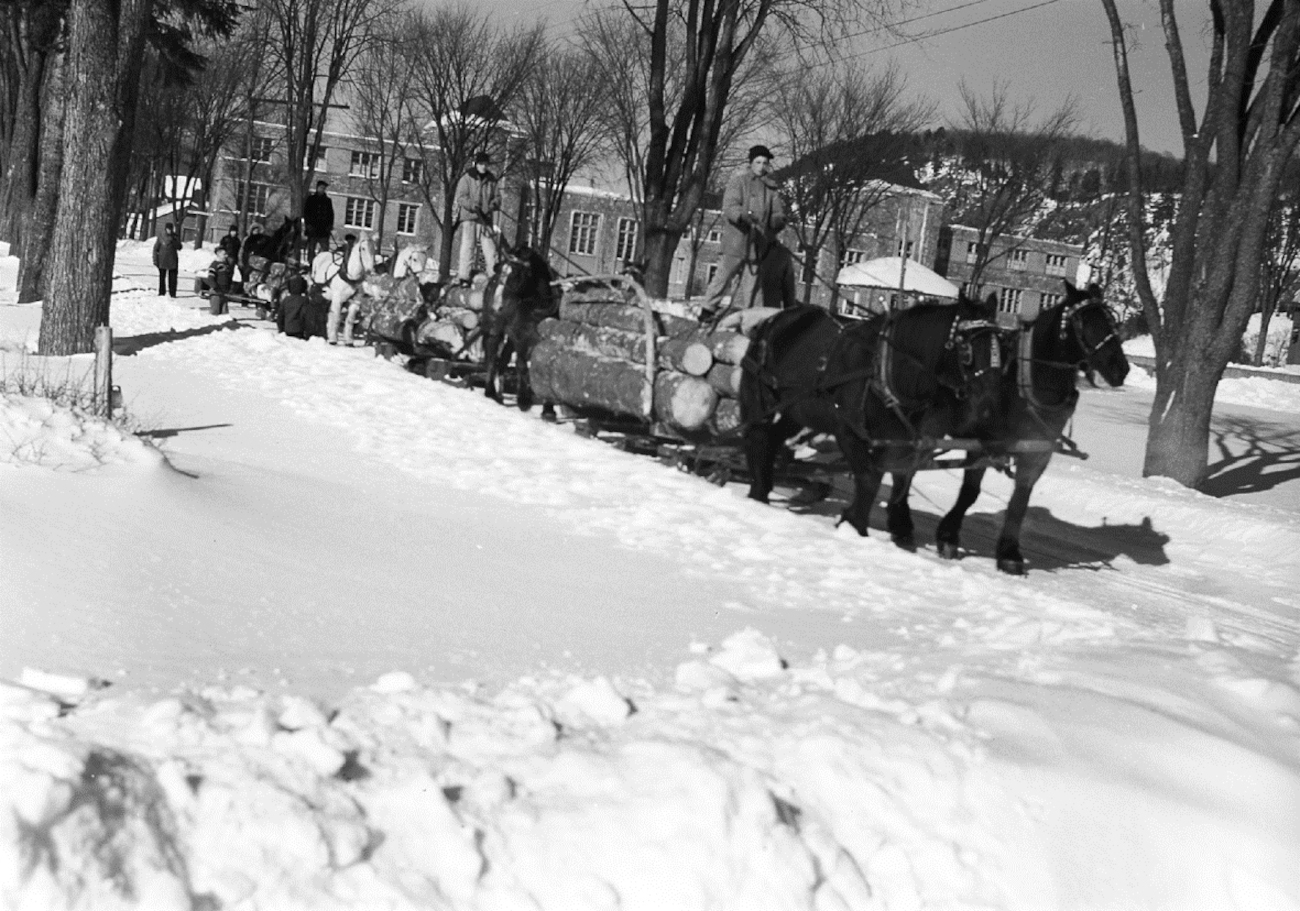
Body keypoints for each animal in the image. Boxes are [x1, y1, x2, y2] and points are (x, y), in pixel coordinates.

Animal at [480, 240, 556, 413]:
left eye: (516, 273)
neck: (537, 309)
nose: (497, 307)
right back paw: (490, 391)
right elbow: (521, 365)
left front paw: (548, 410)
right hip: (496, 328)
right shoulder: (521, 338)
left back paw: (500, 396)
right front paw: (524, 400)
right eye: (502, 271)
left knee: (503, 360)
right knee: (492, 355)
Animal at [738, 298, 998, 535]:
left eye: (1001, 348)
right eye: (966, 348)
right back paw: (758, 491)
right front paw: (854, 524)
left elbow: (890, 477)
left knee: (771, 438)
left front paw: (859, 521)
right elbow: (869, 478)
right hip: (760, 399)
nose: (988, 402)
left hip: (796, 411)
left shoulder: (895, 441)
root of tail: (772, 319)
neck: (883, 371)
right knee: (757, 437)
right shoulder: (848, 431)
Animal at [894, 280, 1128, 571]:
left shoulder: (1037, 451)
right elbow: (970, 492)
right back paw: (900, 521)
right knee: (907, 466)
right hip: (928, 425)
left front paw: (1008, 553)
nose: (1120, 368)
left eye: (1111, 320)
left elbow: (1020, 500)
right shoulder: (984, 443)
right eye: (1081, 320)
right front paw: (947, 536)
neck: (1025, 385)